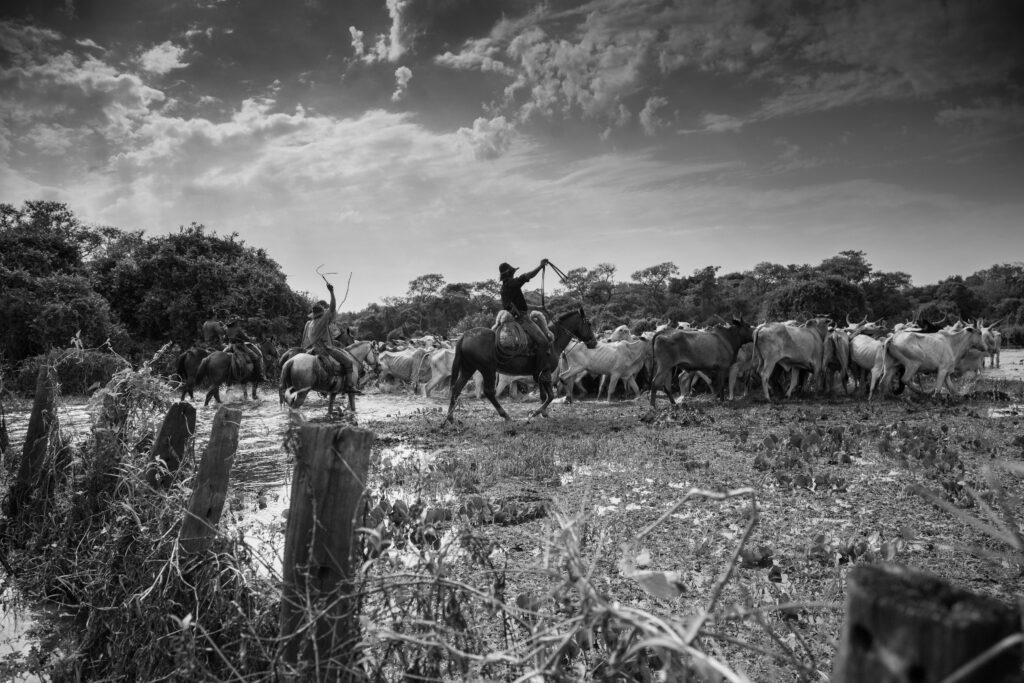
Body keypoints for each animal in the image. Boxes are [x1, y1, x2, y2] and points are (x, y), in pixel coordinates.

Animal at [442, 309, 598, 423]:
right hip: (488, 370)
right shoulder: (546, 372)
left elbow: (543, 395)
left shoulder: (539, 374)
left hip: (468, 368)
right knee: (489, 392)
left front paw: (543, 413)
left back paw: (450, 418)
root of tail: (465, 336)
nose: (594, 342)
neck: (553, 341)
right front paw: (536, 413)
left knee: (456, 389)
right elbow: (550, 396)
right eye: (589, 324)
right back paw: (505, 416)